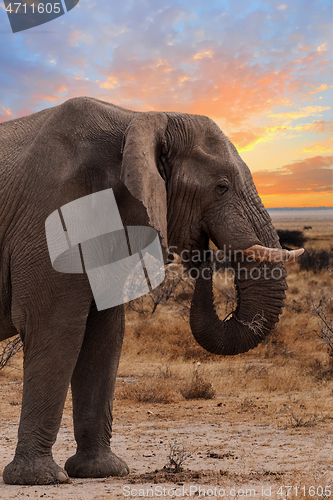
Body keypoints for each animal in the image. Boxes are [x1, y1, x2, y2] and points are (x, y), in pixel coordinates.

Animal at [0, 96, 300, 484]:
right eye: (221, 186)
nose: (198, 255)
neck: (140, 119)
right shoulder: (53, 213)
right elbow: (56, 326)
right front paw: (39, 479)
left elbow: (105, 334)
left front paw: (101, 472)